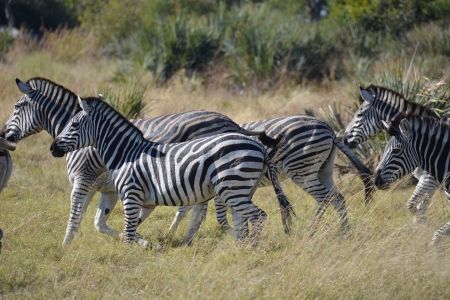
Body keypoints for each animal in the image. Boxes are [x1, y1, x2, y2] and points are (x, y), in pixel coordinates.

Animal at [2, 76, 292, 245]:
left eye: (16, 107)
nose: (4, 135)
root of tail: (233, 124)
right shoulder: (108, 189)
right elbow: (99, 223)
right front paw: (139, 239)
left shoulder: (84, 180)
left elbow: (75, 218)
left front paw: (65, 249)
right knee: (212, 210)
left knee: (210, 210)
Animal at [342, 85, 442, 223]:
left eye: (360, 115)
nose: (344, 139)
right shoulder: (429, 181)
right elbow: (420, 208)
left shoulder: (428, 179)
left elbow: (416, 207)